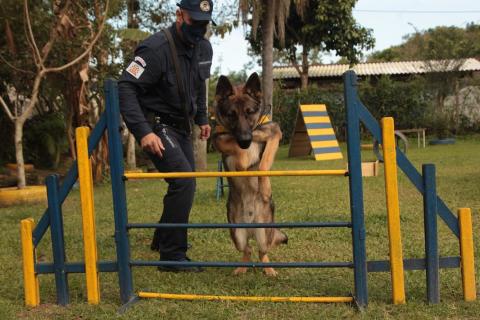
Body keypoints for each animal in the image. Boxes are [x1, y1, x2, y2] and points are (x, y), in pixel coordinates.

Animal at [213, 74, 286, 276]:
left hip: (264, 233)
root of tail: (251, 226)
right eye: (232, 114)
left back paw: (269, 270)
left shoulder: (274, 133)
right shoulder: (219, 140)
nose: (245, 140)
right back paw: (241, 268)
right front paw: (242, 160)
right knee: (247, 249)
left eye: (249, 112)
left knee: (262, 252)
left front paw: (265, 188)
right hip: (236, 233)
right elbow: (235, 149)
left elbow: (263, 164)